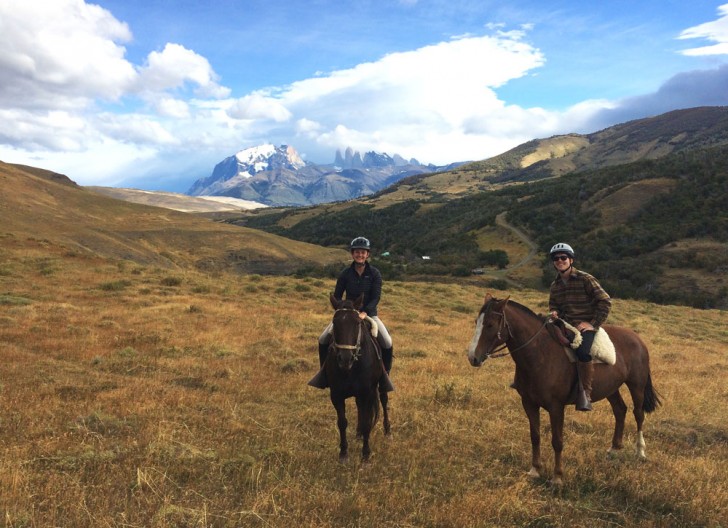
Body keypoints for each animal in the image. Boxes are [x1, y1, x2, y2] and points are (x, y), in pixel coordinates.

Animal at [324, 294, 392, 460]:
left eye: (357, 323)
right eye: (335, 323)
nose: (345, 359)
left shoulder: (367, 392)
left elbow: (368, 422)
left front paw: (366, 454)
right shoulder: (336, 394)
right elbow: (342, 422)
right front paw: (343, 452)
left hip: (381, 384)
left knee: (384, 400)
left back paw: (387, 431)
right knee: (360, 407)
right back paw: (359, 433)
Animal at [466, 294, 660, 484]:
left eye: (490, 325)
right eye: (476, 322)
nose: (472, 357)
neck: (541, 354)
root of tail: (637, 338)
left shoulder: (556, 407)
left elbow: (557, 441)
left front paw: (557, 476)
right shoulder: (528, 403)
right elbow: (535, 436)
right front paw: (535, 470)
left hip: (637, 385)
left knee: (638, 414)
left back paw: (640, 451)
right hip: (611, 388)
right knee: (620, 410)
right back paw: (614, 449)